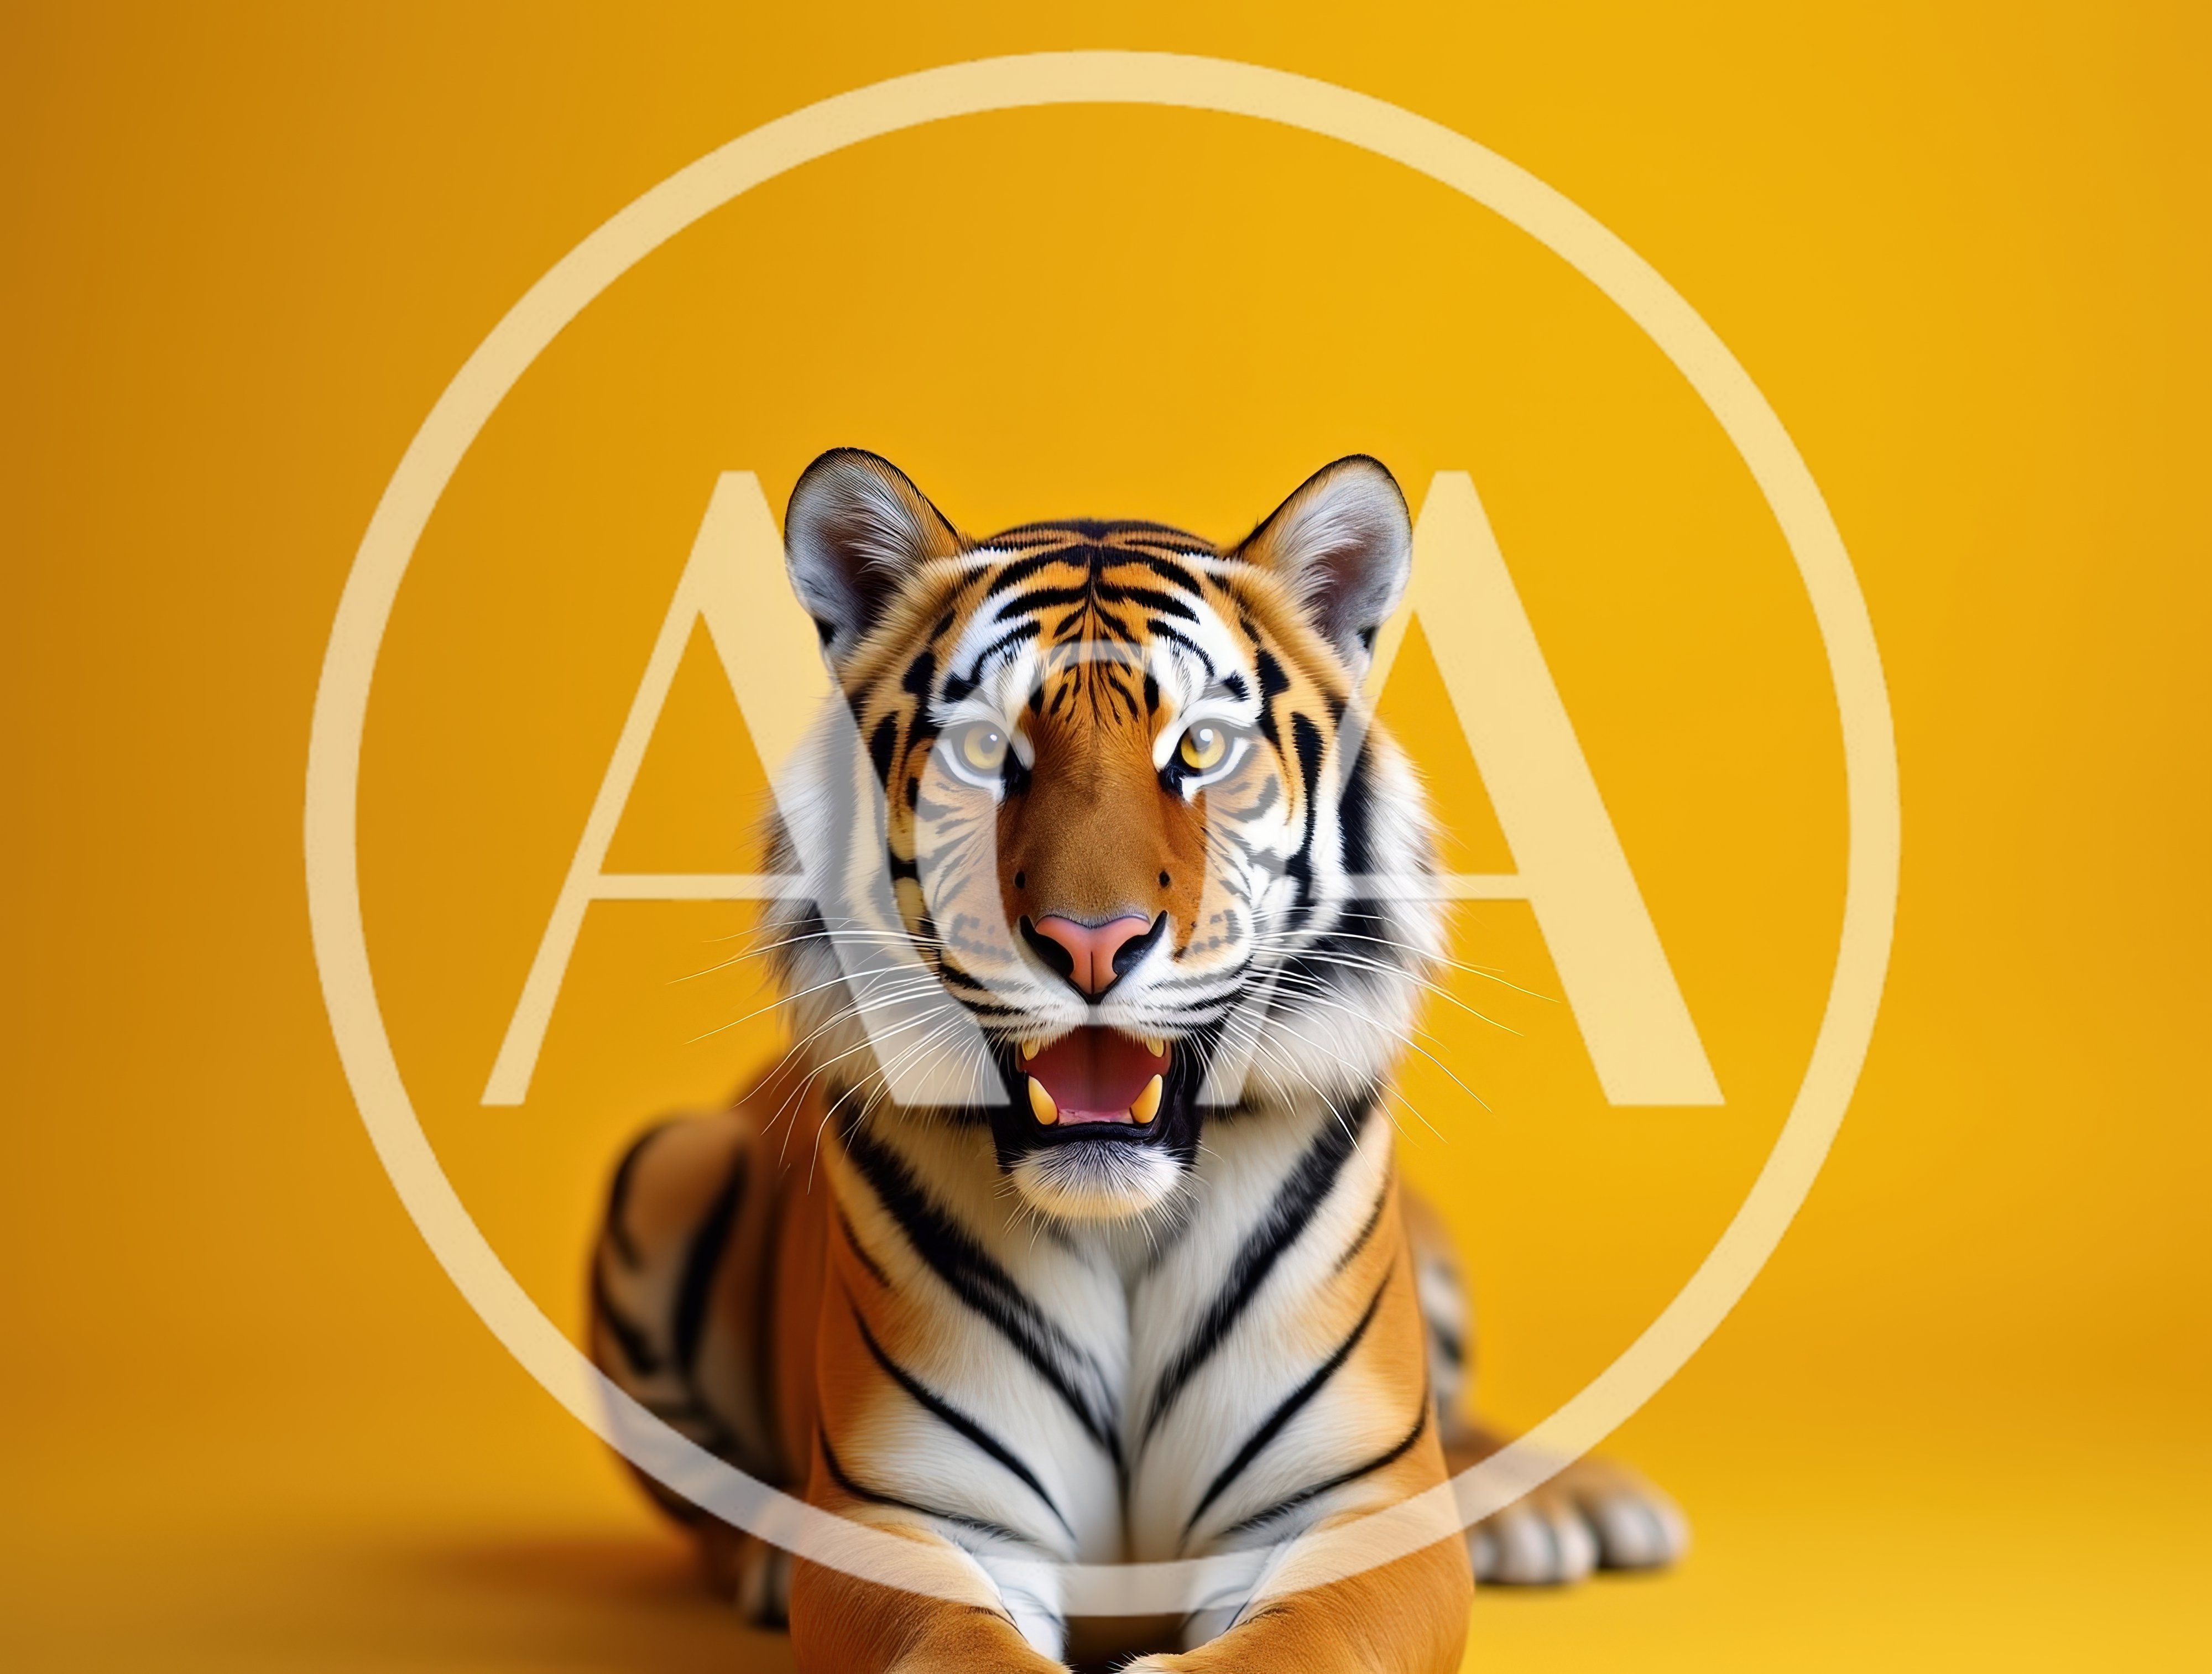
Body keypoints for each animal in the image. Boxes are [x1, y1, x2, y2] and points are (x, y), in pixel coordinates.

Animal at [588, 450, 1688, 1673]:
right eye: (984, 749)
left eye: (1199, 748)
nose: (1088, 941)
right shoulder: (910, 1514)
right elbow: (956, 1651)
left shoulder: (1355, 1512)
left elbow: (1292, 1649)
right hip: (669, 1169)